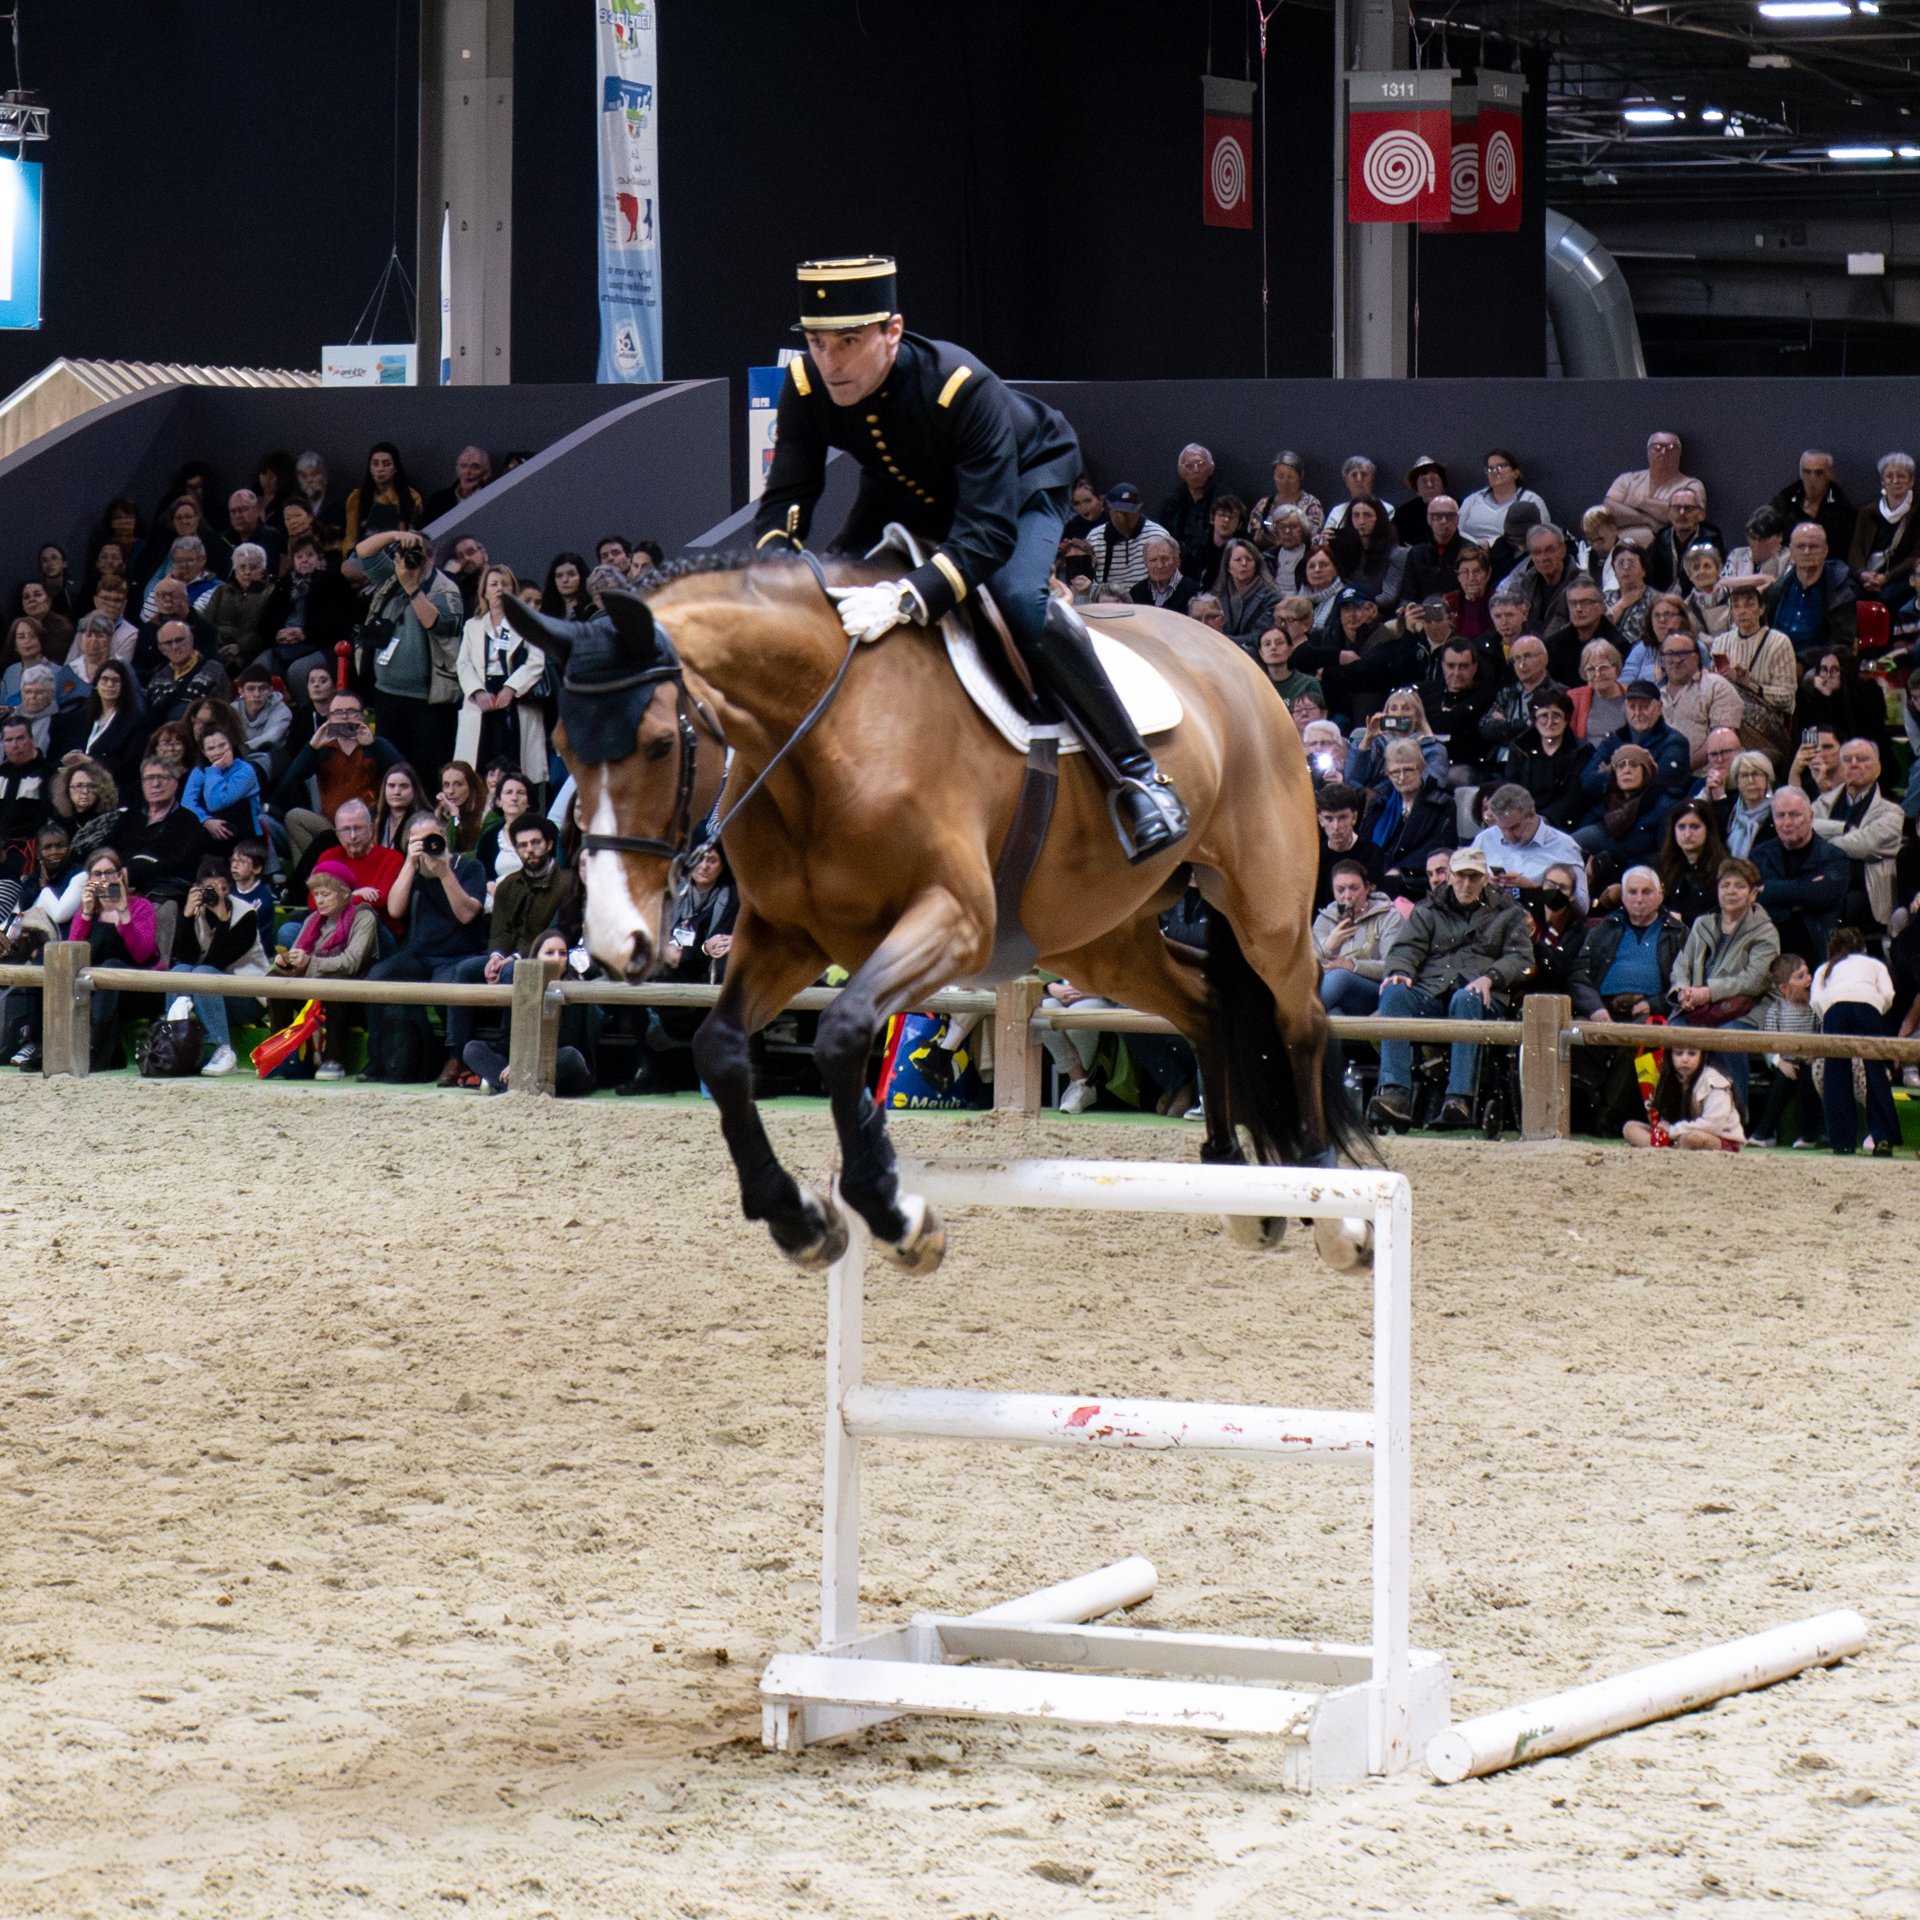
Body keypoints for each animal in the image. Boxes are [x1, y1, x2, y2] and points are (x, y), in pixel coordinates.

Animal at [504, 553, 1373, 1275]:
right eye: (563, 745)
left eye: (657, 744)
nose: (615, 941)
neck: (823, 736)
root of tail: (1236, 662)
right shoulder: (786, 938)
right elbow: (720, 1048)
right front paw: (800, 1218)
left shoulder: (955, 923)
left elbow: (841, 1033)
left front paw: (893, 1212)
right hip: (1097, 939)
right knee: (1209, 1002)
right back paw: (1237, 1183)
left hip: (1266, 913)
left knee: (1299, 1019)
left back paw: (1334, 1210)